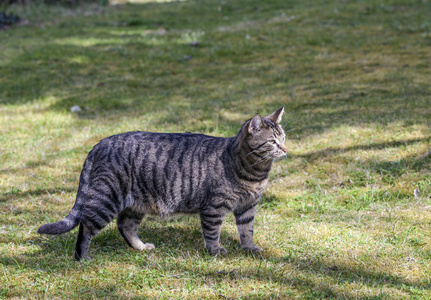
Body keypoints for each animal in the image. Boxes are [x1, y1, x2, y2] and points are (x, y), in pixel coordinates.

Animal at [37, 108, 286, 260]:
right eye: (272, 141)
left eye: (283, 138)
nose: (285, 149)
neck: (254, 173)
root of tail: (101, 143)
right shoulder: (214, 208)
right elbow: (212, 232)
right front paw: (215, 251)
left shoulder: (248, 206)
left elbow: (247, 230)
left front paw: (249, 249)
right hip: (106, 198)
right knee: (86, 225)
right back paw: (82, 257)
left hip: (134, 204)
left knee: (125, 226)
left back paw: (140, 247)